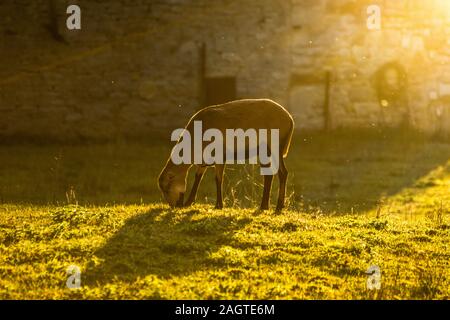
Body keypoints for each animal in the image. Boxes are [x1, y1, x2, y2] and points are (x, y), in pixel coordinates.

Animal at [158, 99, 296, 211]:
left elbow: (218, 179)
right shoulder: (204, 160)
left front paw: (218, 205)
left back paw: (278, 206)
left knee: (283, 173)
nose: (174, 206)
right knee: (269, 175)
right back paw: (264, 206)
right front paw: (189, 202)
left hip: (275, 146)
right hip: (264, 150)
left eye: (167, 188)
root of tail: (290, 119)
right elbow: (198, 177)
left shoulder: (219, 155)